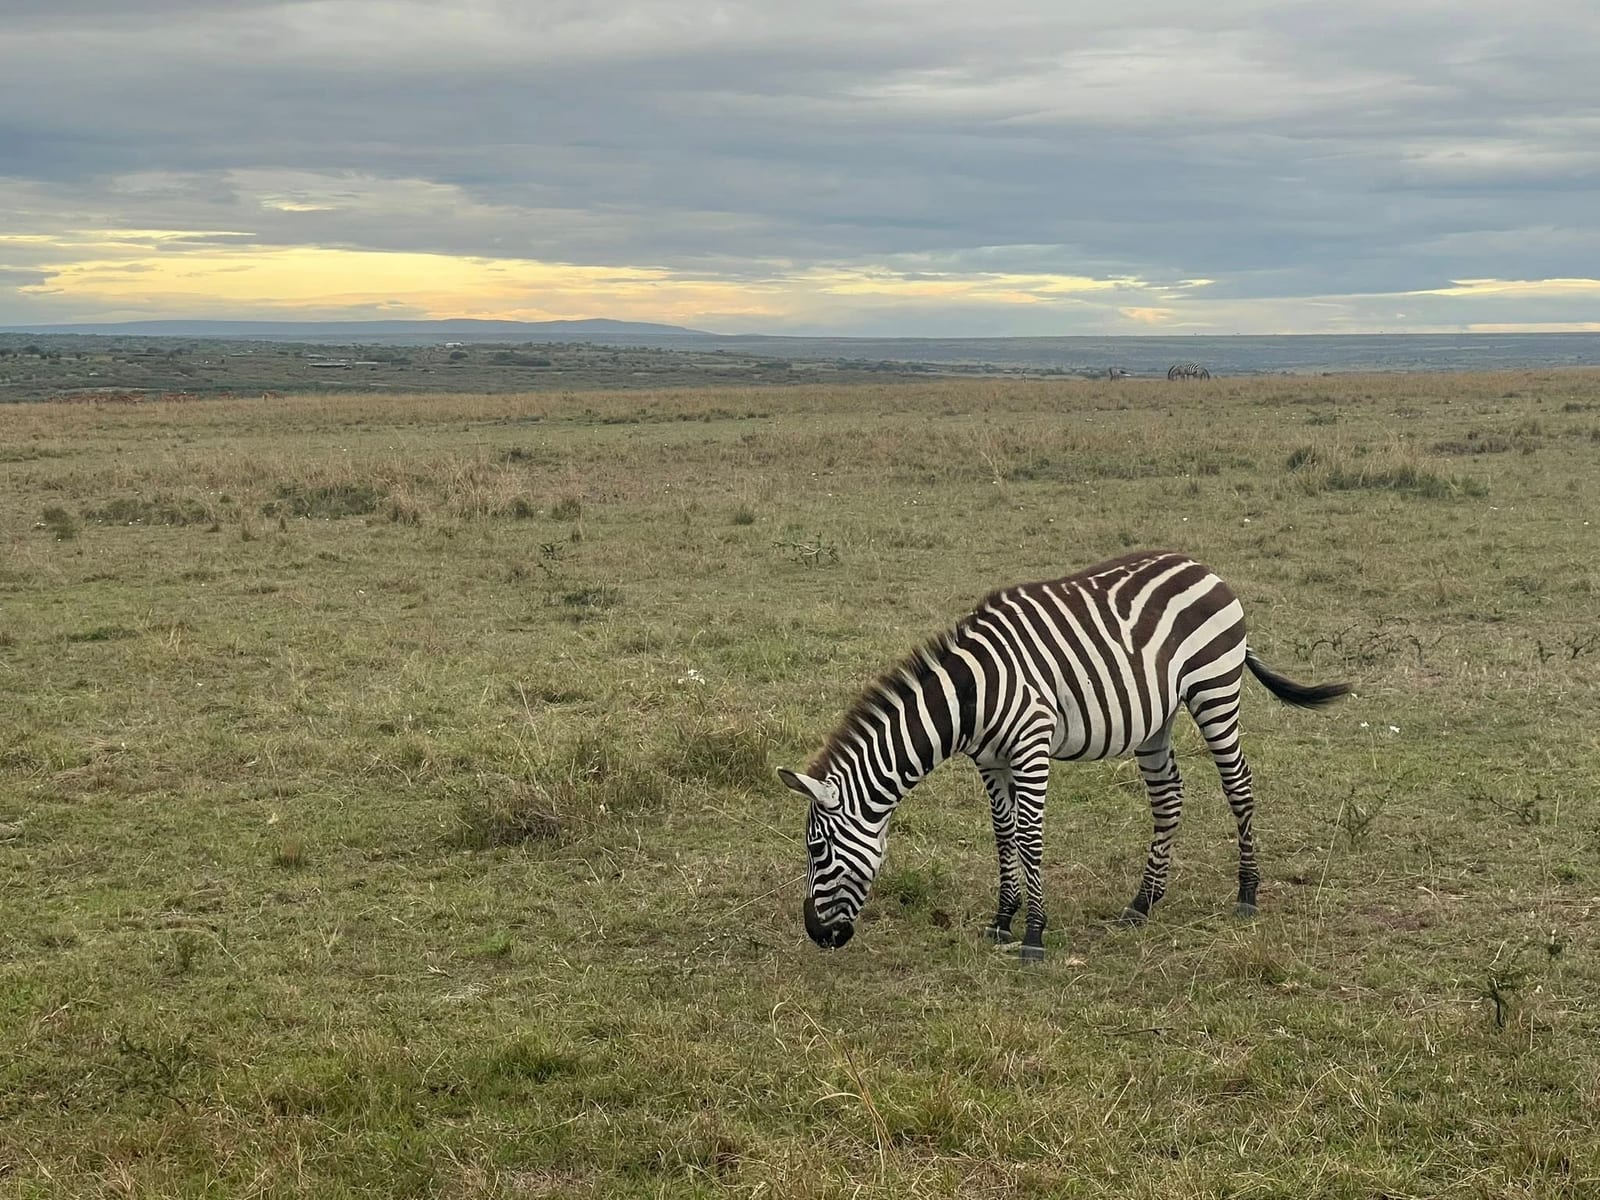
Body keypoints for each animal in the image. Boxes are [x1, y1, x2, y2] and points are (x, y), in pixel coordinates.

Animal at [779, 550, 1349, 961]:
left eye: (817, 850)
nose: (815, 933)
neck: (971, 695)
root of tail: (1203, 566)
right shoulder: (990, 760)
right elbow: (1004, 835)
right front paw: (1002, 921)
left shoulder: (1030, 746)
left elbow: (1030, 838)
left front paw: (1033, 934)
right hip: (1157, 716)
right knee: (1168, 799)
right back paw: (1142, 904)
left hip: (1215, 688)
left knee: (1239, 785)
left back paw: (1247, 894)